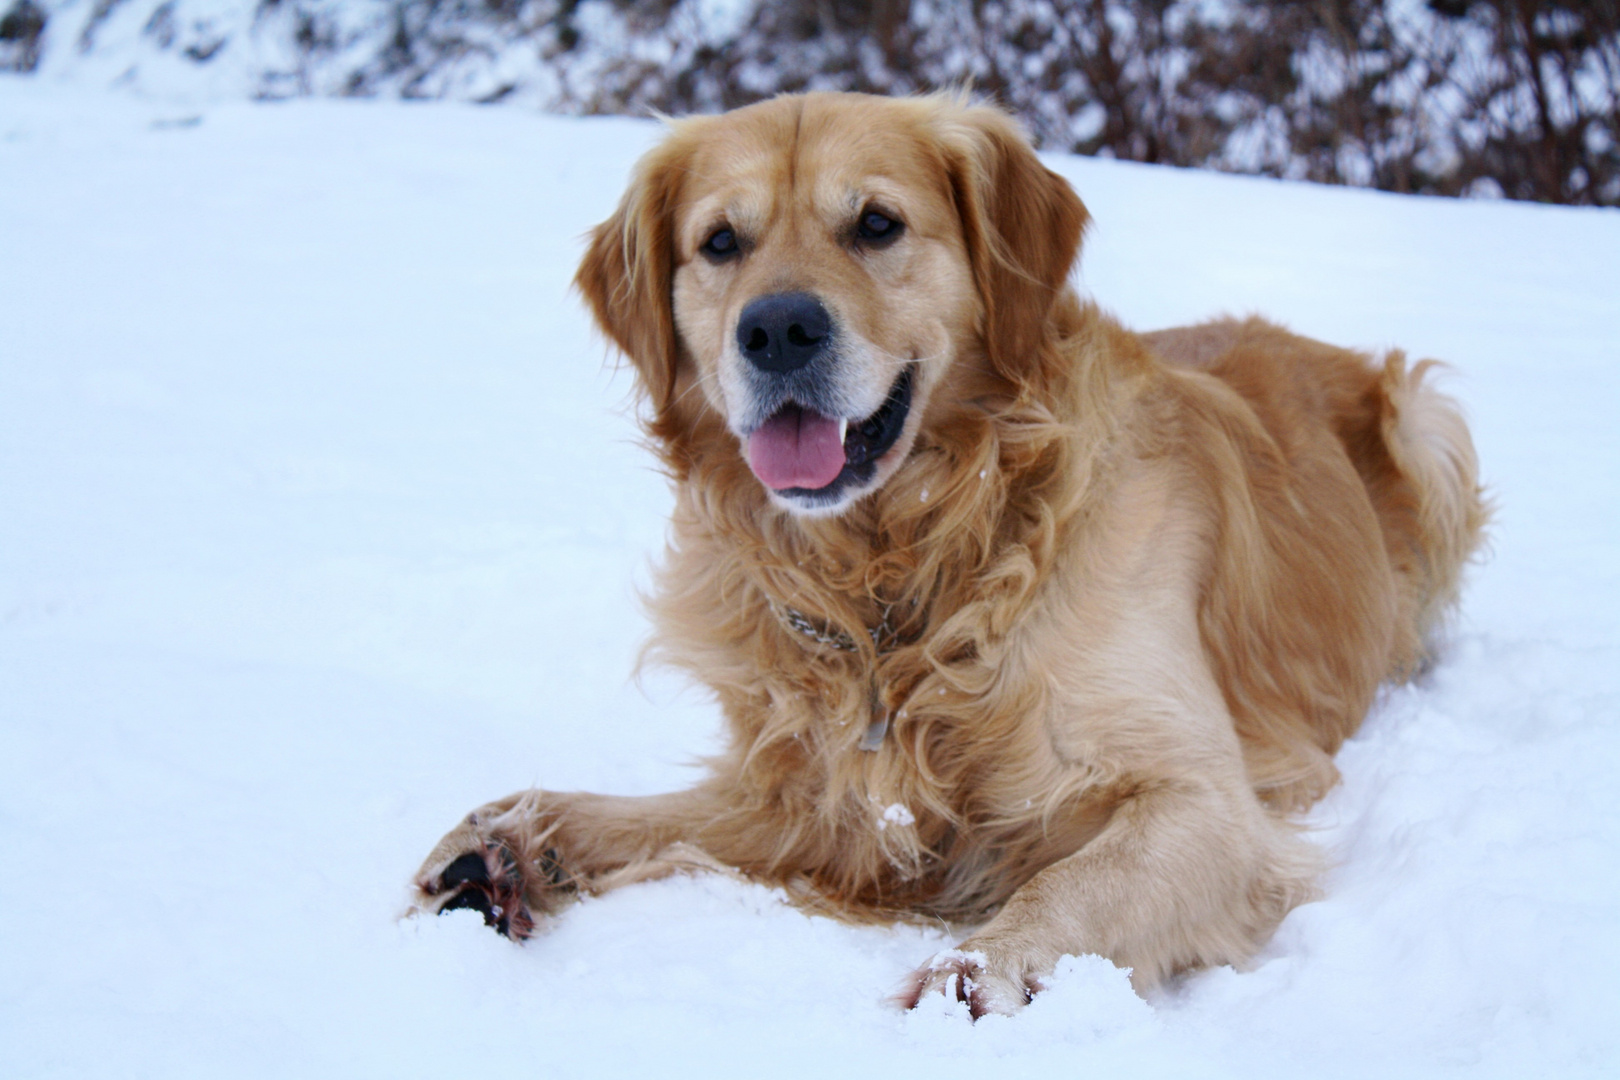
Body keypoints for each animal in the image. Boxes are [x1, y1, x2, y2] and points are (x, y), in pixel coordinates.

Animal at [411, 90, 1483, 1016]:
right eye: (719, 243)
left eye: (877, 224)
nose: (778, 327)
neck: (901, 575)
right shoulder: (808, 792)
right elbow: (666, 816)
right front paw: (519, 843)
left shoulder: (1203, 801)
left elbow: (1070, 883)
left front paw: (982, 970)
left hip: (1432, 426)